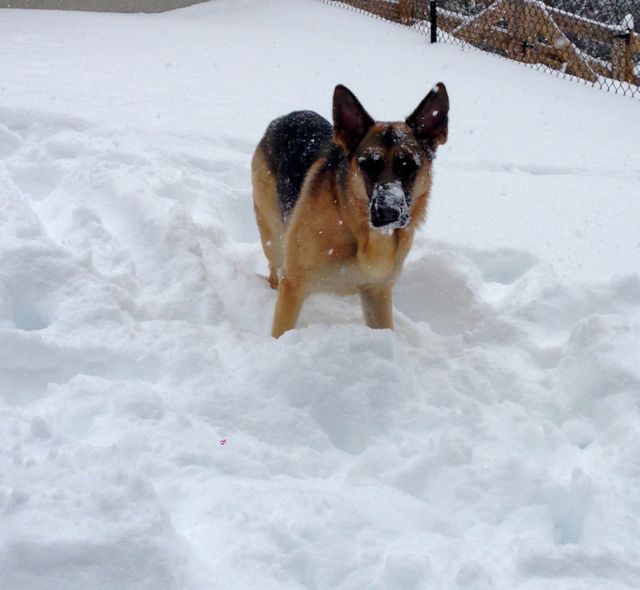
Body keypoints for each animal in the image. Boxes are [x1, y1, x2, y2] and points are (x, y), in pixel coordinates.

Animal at [252, 85, 448, 340]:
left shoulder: (377, 294)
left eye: (408, 166)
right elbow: (281, 332)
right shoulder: (293, 285)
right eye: (368, 165)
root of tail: (284, 118)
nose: (388, 212)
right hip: (273, 239)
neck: (355, 226)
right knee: (274, 268)